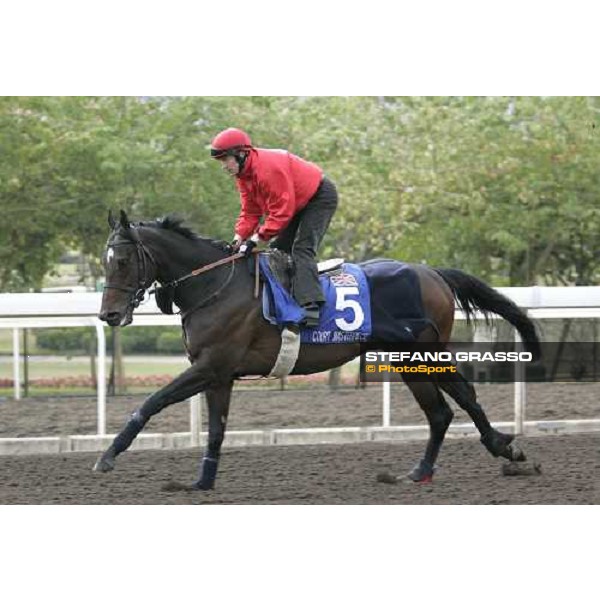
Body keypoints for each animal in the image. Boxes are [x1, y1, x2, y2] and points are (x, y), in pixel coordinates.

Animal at [94, 210, 540, 488]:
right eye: (104, 261)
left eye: (122, 261)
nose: (108, 314)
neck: (215, 285)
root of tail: (431, 271)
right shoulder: (219, 375)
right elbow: (217, 429)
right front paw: (201, 482)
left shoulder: (209, 366)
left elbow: (152, 402)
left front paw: (108, 456)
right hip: (406, 358)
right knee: (440, 412)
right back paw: (419, 472)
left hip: (422, 352)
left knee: (463, 395)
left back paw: (505, 447)